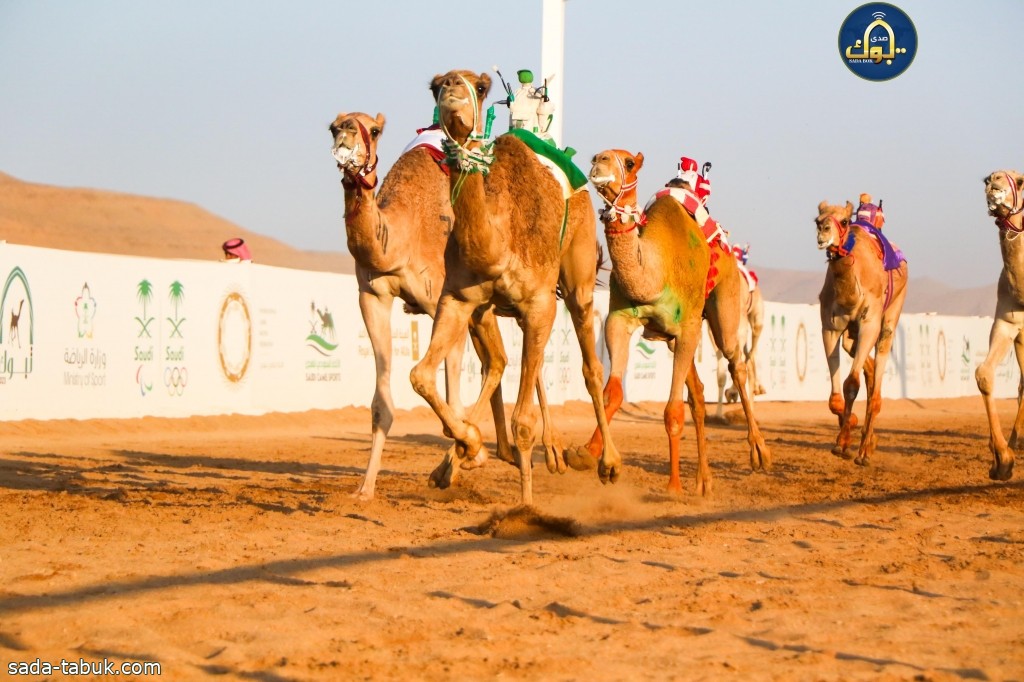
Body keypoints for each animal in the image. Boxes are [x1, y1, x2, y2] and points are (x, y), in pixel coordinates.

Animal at [405, 70, 614, 503]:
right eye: (435, 86)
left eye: (480, 87)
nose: (452, 86)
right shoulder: (459, 298)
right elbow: (421, 375)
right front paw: (466, 446)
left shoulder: (538, 303)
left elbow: (522, 420)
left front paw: (526, 506)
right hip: (501, 310)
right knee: (507, 364)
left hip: (577, 276)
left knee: (590, 365)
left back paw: (605, 463)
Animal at [581, 148, 770, 491]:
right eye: (598, 156)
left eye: (628, 162)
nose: (598, 161)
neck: (656, 272)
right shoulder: (619, 320)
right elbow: (613, 392)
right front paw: (592, 456)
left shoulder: (687, 329)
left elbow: (672, 411)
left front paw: (673, 487)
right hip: (675, 337)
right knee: (698, 393)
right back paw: (704, 480)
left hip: (724, 307)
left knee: (735, 362)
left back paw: (759, 451)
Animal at [819, 196, 909, 462]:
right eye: (817, 220)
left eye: (844, 221)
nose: (823, 232)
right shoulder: (830, 328)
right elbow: (835, 398)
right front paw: (845, 434)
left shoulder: (869, 323)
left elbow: (851, 384)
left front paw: (844, 444)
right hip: (852, 335)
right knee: (865, 366)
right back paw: (869, 440)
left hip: (891, 315)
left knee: (877, 377)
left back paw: (865, 450)